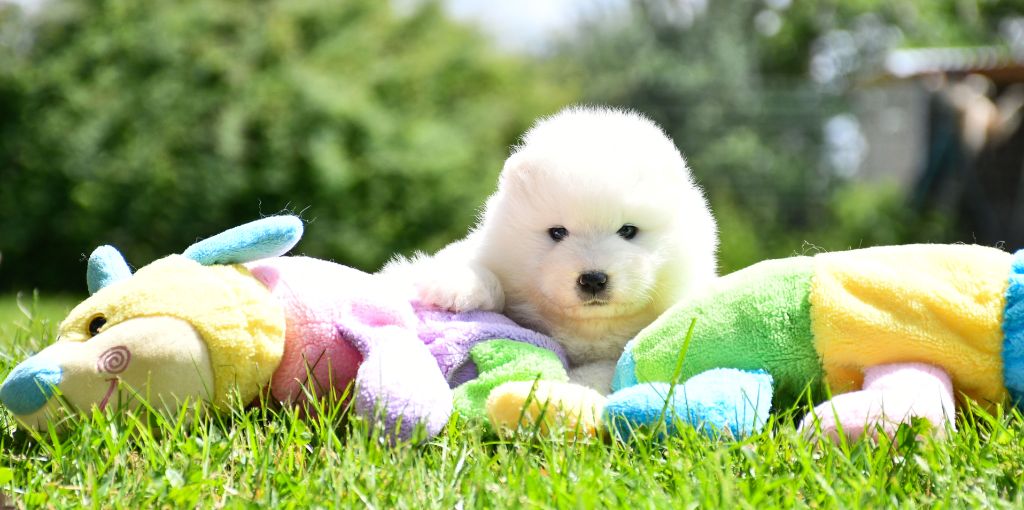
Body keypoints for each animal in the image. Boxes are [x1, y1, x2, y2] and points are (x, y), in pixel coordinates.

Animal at [385, 105, 719, 393]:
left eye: (627, 231)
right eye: (558, 232)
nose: (593, 279)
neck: (589, 327)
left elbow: (604, 369)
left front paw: (576, 388)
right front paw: (456, 285)